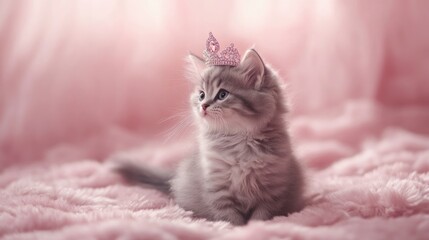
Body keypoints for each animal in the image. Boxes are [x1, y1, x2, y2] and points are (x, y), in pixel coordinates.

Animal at [116, 48, 304, 225]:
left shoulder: (272, 191)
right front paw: (236, 229)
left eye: (222, 95)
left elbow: (261, 216)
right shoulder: (217, 188)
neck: (239, 143)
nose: (203, 106)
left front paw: (254, 227)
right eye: (201, 95)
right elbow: (229, 218)